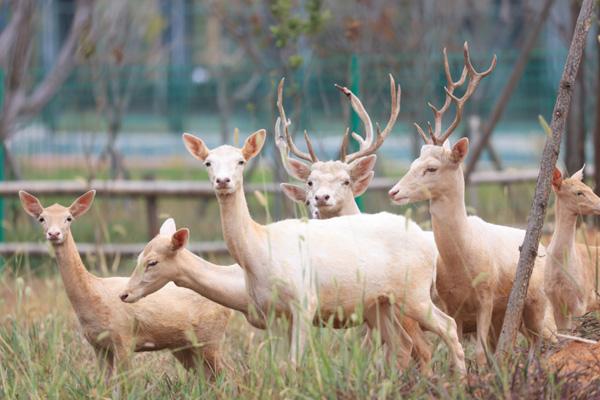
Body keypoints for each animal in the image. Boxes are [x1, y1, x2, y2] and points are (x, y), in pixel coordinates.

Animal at [180, 128, 466, 376]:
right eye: (207, 163)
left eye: (240, 161)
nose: (223, 181)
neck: (260, 246)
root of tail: (427, 242)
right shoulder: (273, 314)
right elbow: (281, 363)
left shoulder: (305, 300)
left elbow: (294, 362)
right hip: (380, 302)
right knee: (404, 344)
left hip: (414, 292)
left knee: (448, 326)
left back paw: (460, 379)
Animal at [386, 42, 556, 364]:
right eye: (413, 162)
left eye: (431, 168)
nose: (393, 191)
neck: (462, 262)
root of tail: (543, 245)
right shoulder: (450, 302)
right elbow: (465, 347)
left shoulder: (487, 296)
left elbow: (478, 354)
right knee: (523, 343)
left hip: (537, 301)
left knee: (549, 338)